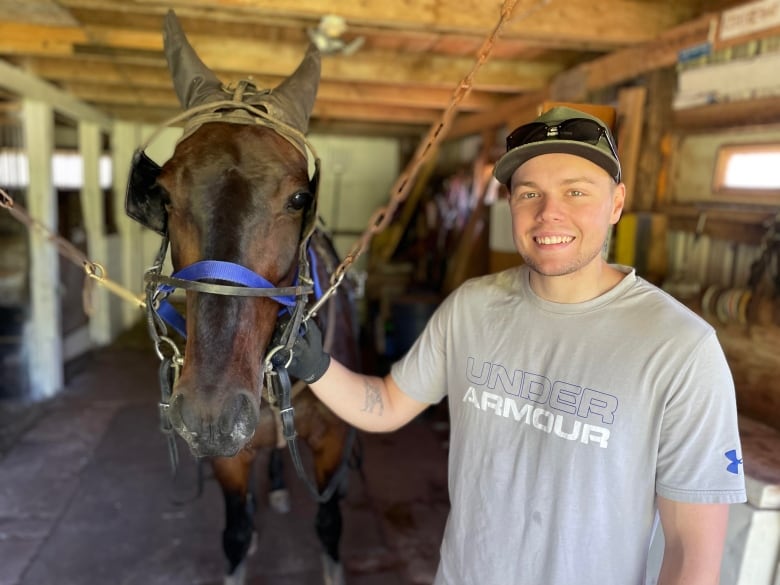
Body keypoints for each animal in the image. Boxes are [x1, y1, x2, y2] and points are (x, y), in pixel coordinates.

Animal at [125, 10, 362, 584]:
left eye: (299, 197)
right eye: (164, 197)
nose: (212, 415)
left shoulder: (333, 444)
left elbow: (328, 521)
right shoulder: (229, 456)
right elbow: (235, 528)